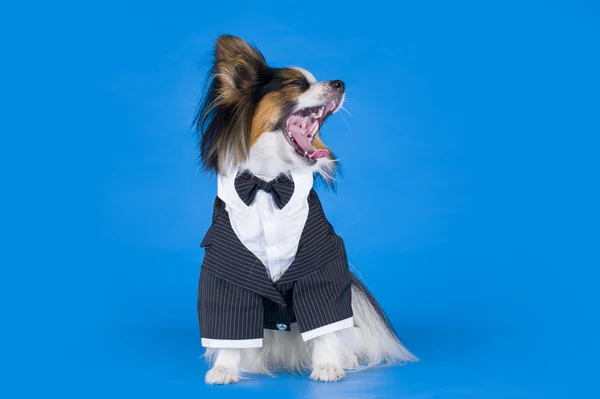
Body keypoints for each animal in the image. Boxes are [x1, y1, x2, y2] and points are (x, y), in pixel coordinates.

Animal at [193, 36, 418, 386]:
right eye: (297, 84)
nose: (340, 83)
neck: (268, 183)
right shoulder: (225, 268)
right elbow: (229, 328)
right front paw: (225, 369)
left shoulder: (318, 263)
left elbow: (324, 325)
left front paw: (327, 366)